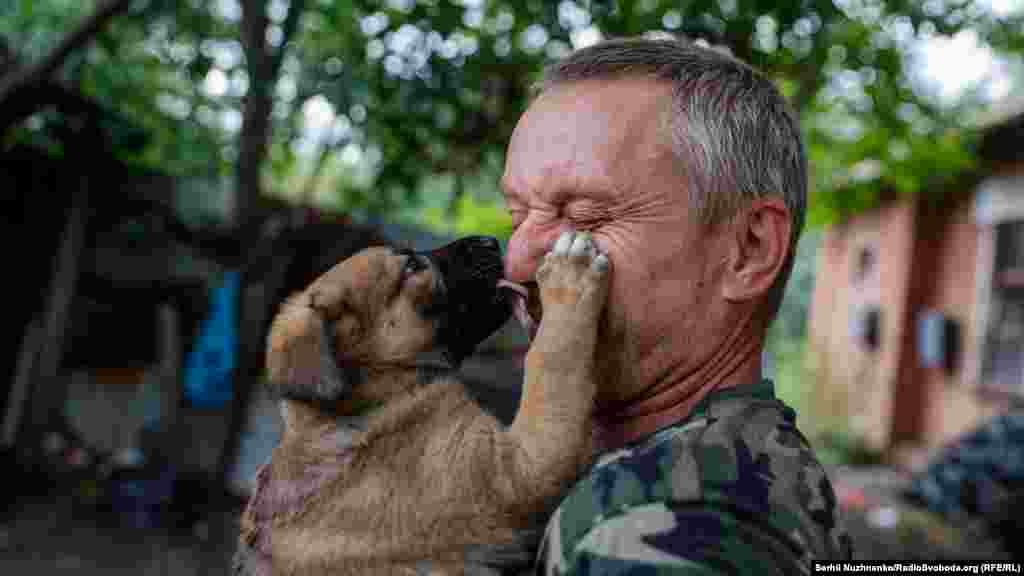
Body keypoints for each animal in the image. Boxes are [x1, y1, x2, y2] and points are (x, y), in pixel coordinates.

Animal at [234, 230, 606, 569]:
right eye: (412, 266)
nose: (490, 241)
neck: (384, 389)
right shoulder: (520, 471)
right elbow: (552, 358)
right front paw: (569, 276)